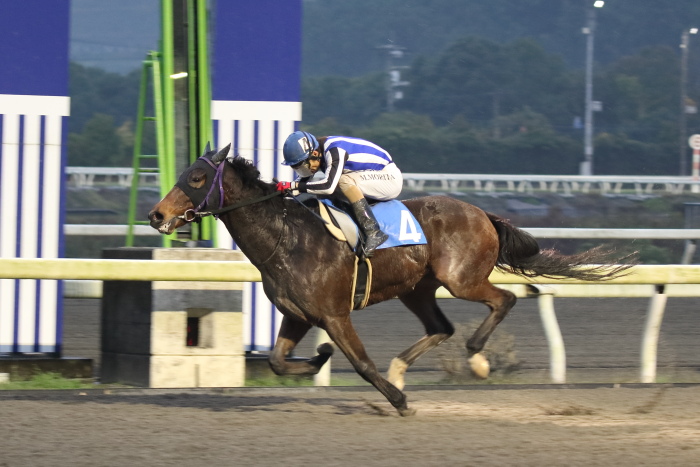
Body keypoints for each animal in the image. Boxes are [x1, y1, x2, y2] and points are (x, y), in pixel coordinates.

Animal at [148, 144, 636, 416]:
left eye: (196, 177)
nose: (156, 215)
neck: (288, 239)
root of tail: (483, 213)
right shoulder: (298, 315)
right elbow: (276, 361)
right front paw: (319, 358)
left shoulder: (334, 314)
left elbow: (362, 364)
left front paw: (397, 402)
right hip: (417, 290)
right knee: (442, 327)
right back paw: (402, 370)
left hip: (460, 279)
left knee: (503, 301)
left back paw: (476, 358)